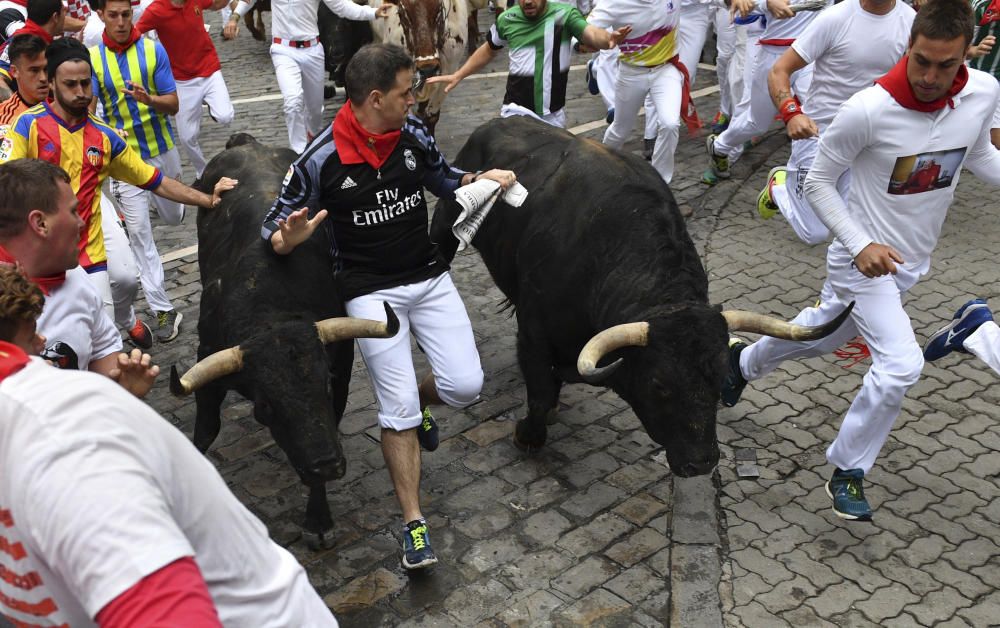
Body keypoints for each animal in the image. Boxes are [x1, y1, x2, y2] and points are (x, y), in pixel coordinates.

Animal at [170, 135, 396, 548]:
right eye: (265, 406)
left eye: (325, 387)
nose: (327, 464)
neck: (270, 306)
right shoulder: (207, 362)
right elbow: (205, 430)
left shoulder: (339, 369)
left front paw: (319, 519)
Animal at [430, 118, 852, 478]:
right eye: (659, 385)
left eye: (721, 378)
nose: (700, 463)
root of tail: (494, 124)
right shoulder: (534, 331)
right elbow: (538, 391)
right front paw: (529, 435)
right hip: (442, 227)